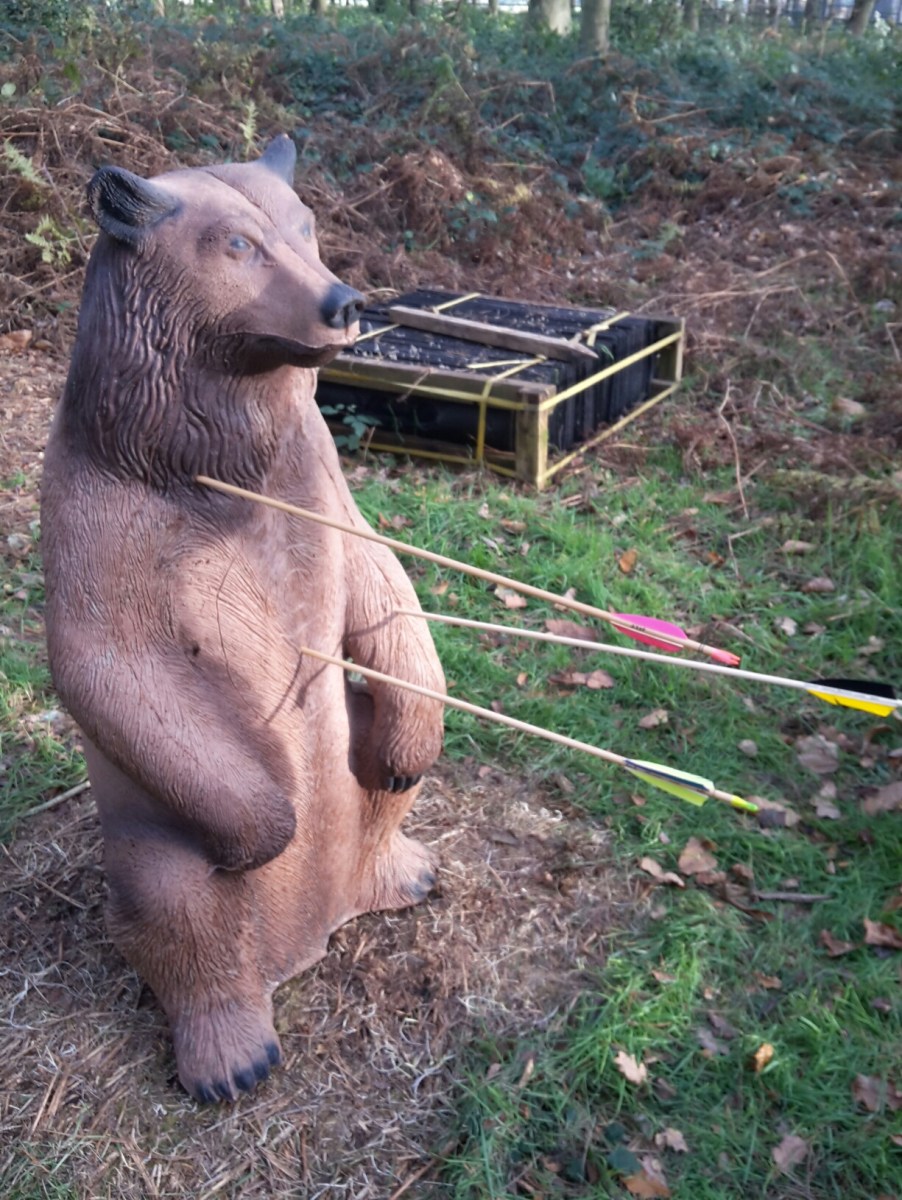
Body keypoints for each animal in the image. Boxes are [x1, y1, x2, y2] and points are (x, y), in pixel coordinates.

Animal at [40, 135, 446, 1104]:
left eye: (305, 224)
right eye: (235, 245)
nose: (345, 302)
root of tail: (309, 945)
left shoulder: (323, 476)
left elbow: (381, 574)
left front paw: (417, 726)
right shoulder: (97, 516)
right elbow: (103, 660)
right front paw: (266, 832)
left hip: (359, 770)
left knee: (380, 773)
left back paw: (403, 870)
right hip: (153, 836)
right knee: (178, 914)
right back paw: (234, 1055)